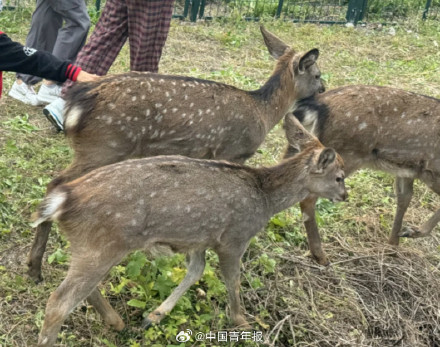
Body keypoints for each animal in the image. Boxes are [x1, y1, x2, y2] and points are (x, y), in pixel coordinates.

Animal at [25, 25, 324, 284]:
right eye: (318, 74)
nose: (322, 89)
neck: (262, 112)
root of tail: (76, 106)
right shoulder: (232, 151)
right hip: (104, 146)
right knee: (57, 183)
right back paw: (35, 267)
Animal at [31, 117, 348, 347]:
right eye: (339, 176)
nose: (345, 195)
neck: (265, 199)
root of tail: (62, 202)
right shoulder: (233, 238)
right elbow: (232, 280)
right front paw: (243, 323)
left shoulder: (198, 239)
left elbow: (196, 271)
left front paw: (154, 316)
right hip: (102, 244)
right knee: (59, 302)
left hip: (91, 246)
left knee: (84, 290)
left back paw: (117, 321)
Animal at [288, 85, 440, 266]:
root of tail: (315, 105)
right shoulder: (432, 170)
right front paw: (412, 232)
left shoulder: (406, 170)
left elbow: (404, 198)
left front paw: (393, 246)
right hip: (346, 155)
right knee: (307, 198)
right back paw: (320, 255)